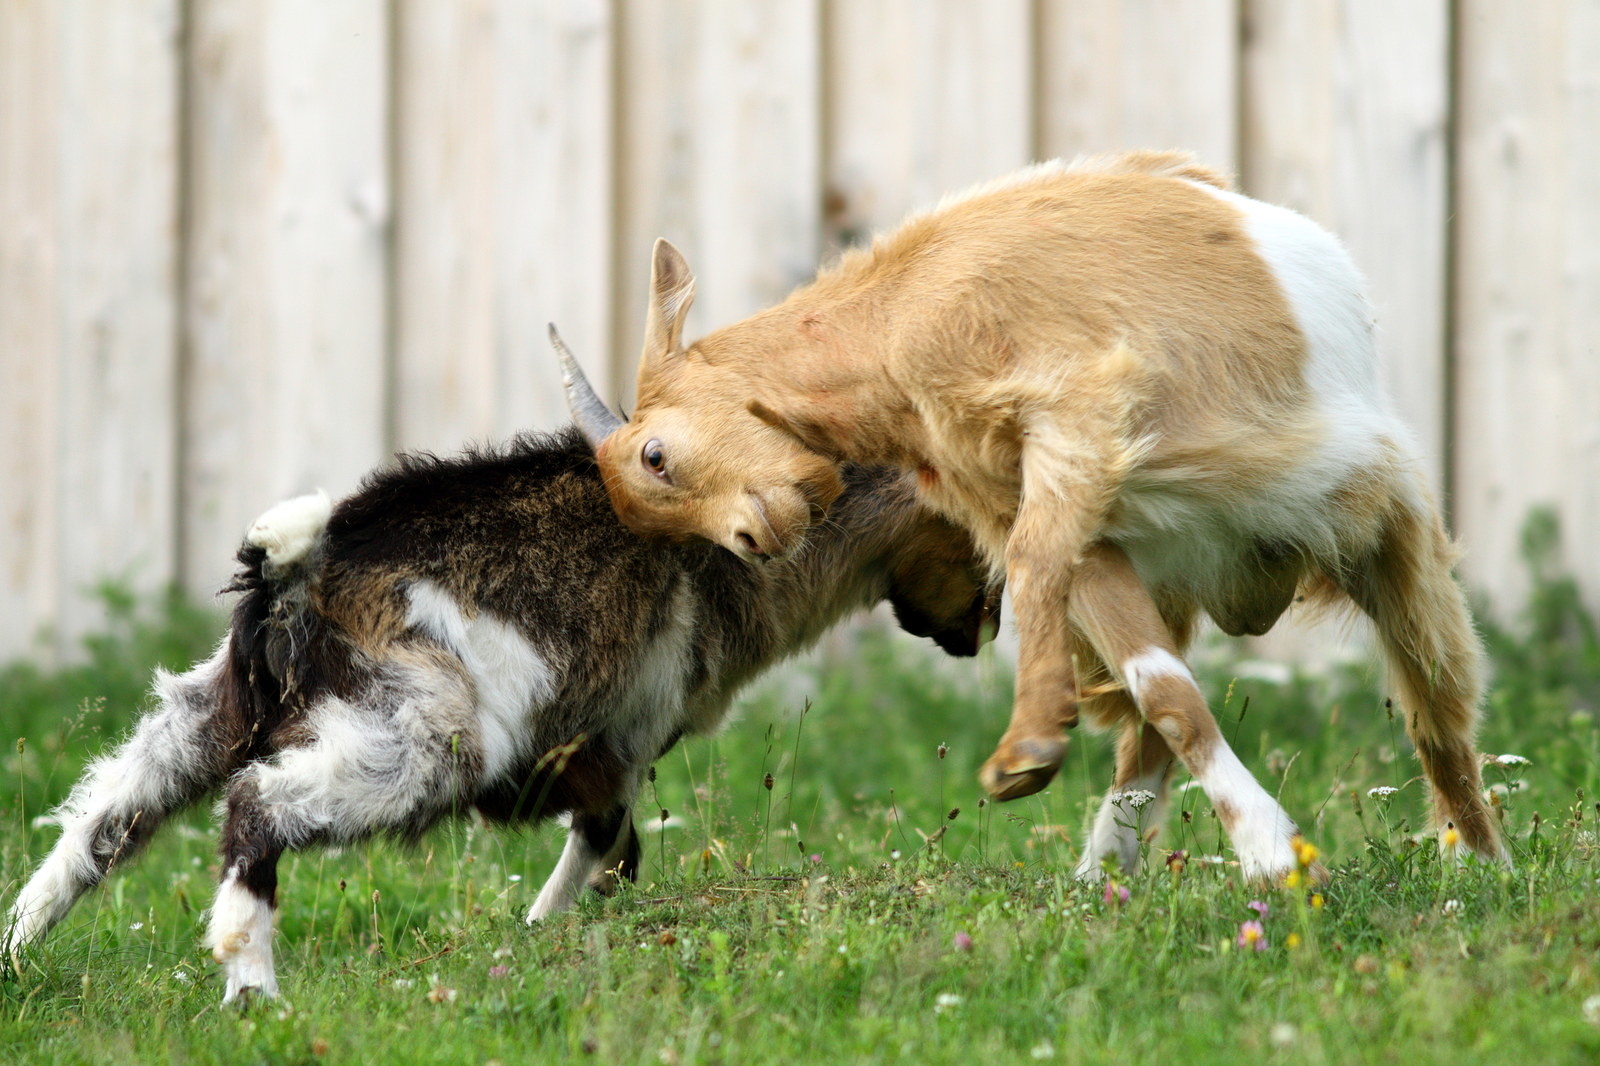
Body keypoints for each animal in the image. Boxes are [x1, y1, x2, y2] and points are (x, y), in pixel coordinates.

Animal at [560, 151, 1497, 877]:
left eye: (654, 455)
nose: (758, 541)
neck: (892, 319)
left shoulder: (1075, 414)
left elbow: (1036, 562)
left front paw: (1028, 750)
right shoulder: (1076, 516)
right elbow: (1163, 686)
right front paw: (1271, 856)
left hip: (1384, 522)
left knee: (1436, 709)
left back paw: (1480, 866)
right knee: (1153, 722)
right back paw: (1103, 873)